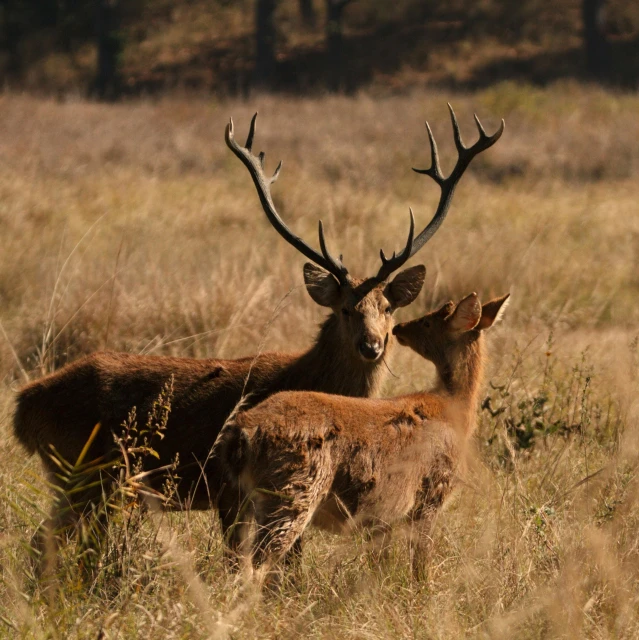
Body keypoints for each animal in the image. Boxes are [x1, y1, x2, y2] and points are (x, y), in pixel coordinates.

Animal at [12, 109, 504, 552]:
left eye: (388, 307)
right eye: (345, 309)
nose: (372, 345)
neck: (311, 376)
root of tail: (23, 407)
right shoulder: (228, 491)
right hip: (84, 473)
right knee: (43, 545)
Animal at [219, 292, 510, 576]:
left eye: (428, 321)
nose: (399, 328)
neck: (454, 410)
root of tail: (241, 431)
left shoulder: (383, 519)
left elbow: (380, 564)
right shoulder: (430, 494)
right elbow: (420, 563)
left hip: (247, 499)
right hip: (293, 493)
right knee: (258, 563)